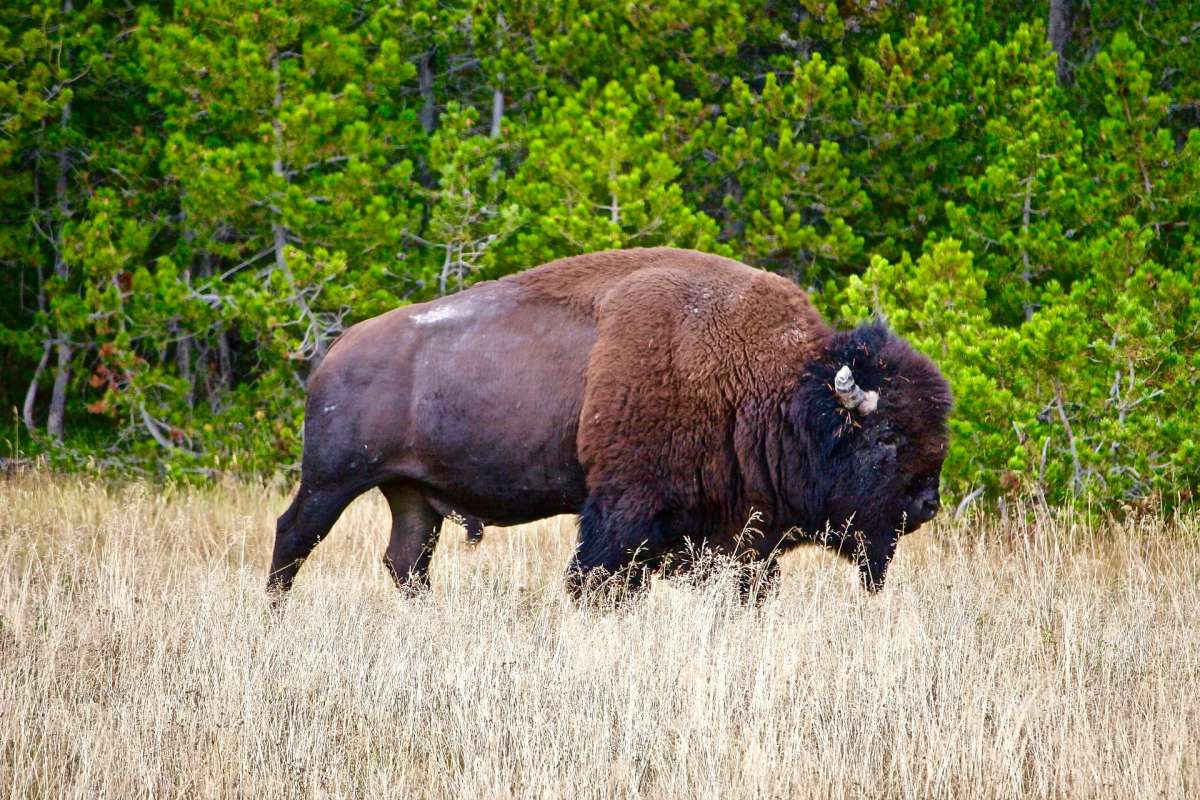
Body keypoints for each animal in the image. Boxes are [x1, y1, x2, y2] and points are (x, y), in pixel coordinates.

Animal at [267, 247, 950, 604]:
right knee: (293, 536)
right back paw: (275, 612)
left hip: (412, 496)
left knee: (406, 561)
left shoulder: (739, 535)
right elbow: (596, 579)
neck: (776, 384)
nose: (926, 504)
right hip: (332, 480)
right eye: (887, 437)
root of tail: (335, 354)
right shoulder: (624, 510)